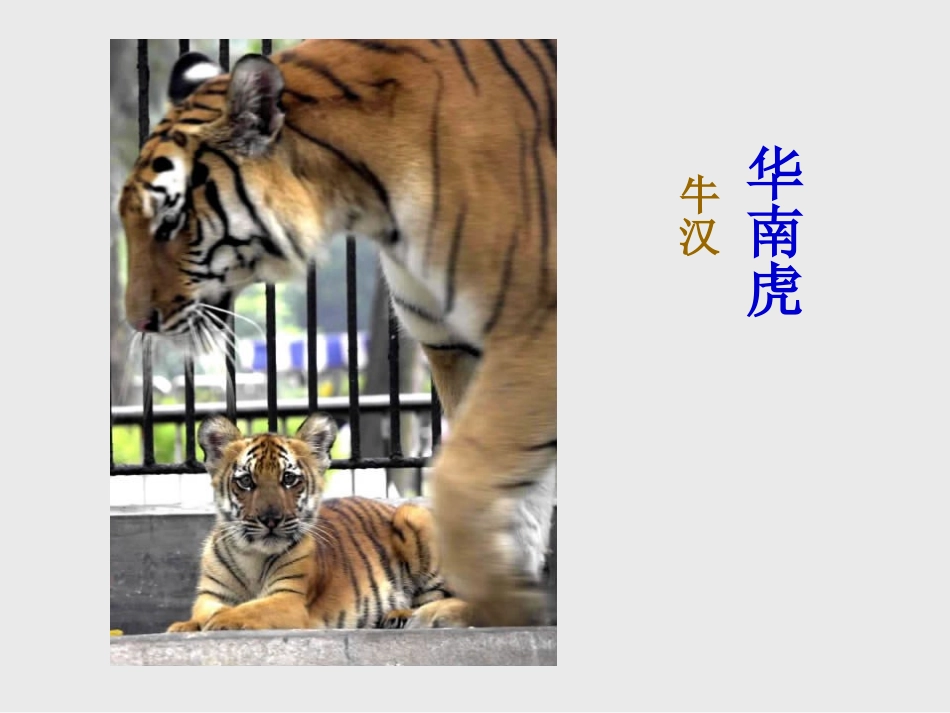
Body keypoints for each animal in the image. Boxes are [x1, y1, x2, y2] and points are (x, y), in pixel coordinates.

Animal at [167, 413, 472, 632]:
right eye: (246, 481)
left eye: (289, 479)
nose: (270, 519)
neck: (251, 555)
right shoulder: (210, 596)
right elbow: (206, 612)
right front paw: (184, 626)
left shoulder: (290, 598)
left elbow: (248, 609)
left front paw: (218, 622)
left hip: (413, 515)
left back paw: (404, 615)